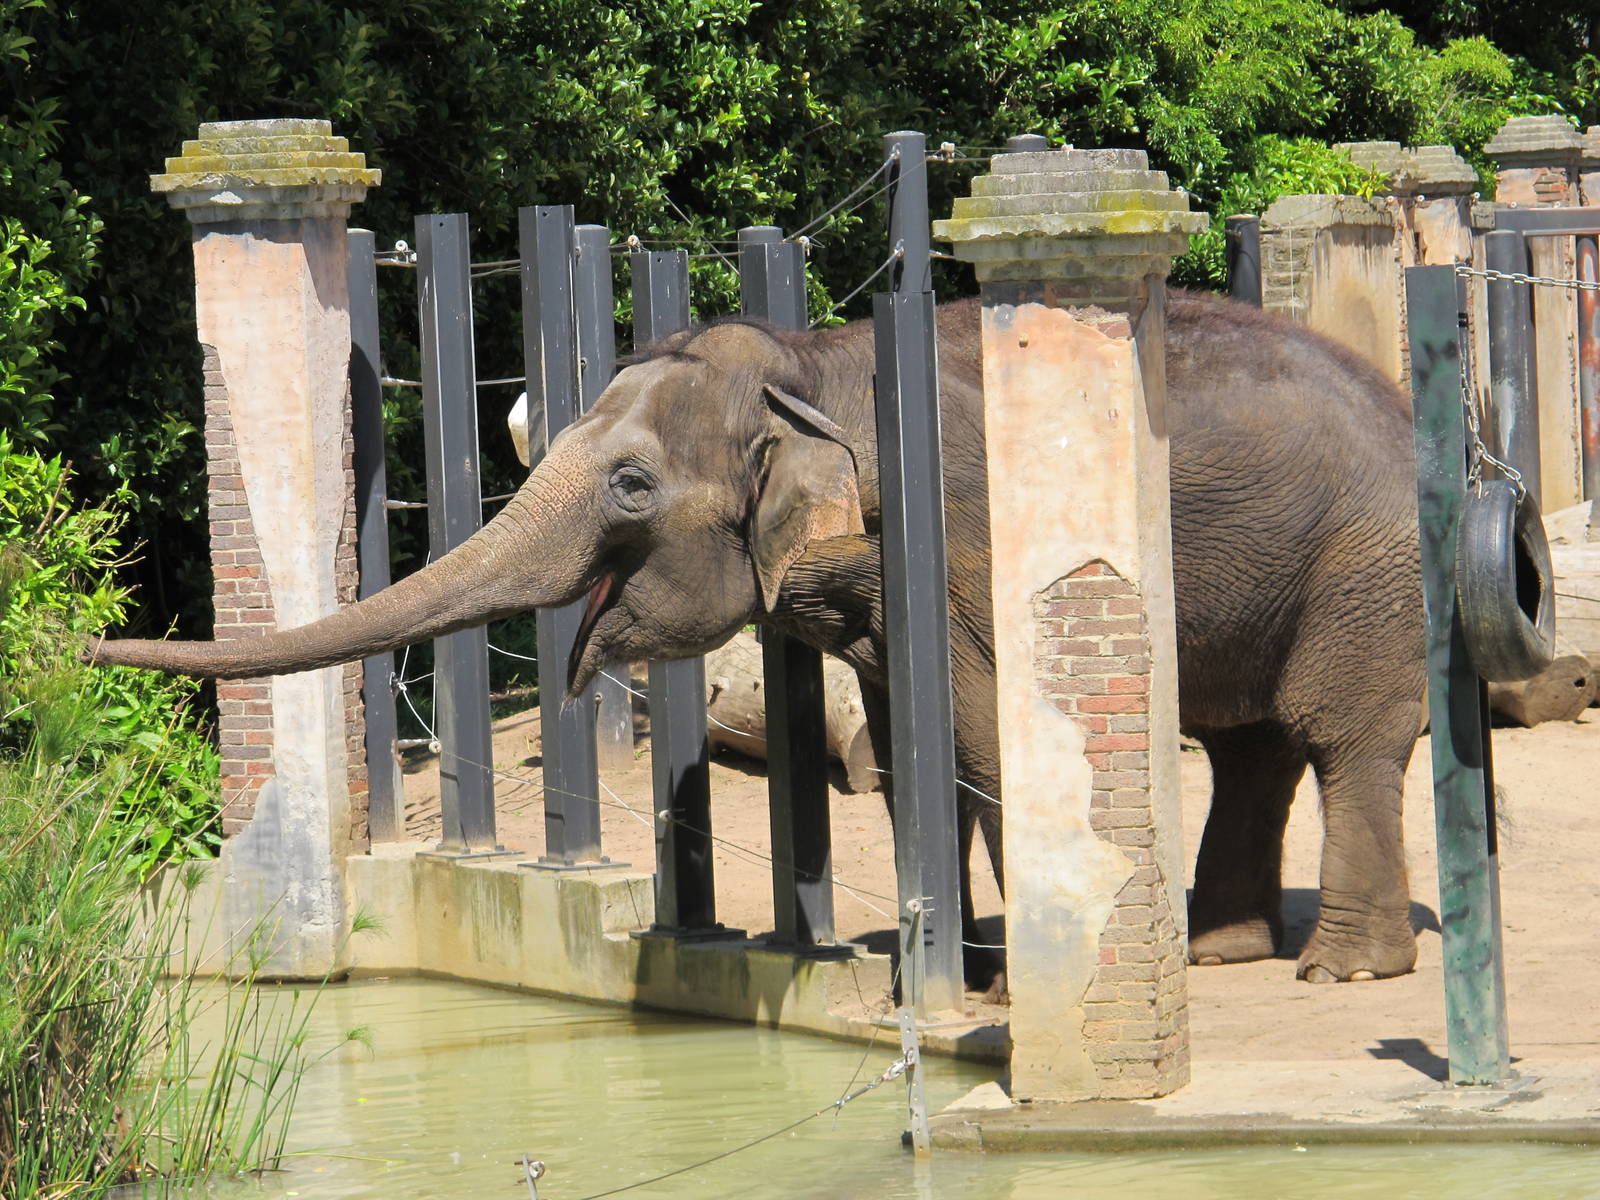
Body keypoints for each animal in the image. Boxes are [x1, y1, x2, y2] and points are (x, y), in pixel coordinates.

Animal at [92, 292, 1426, 991]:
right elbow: (906, 747)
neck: (812, 369)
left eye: (631, 486)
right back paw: (1222, 954)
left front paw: (997, 984)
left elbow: (985, 736)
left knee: (1340, 737)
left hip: (1368, 564)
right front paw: (946, 967)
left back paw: (1342, 974)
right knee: (1253, 744)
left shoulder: (965, 538)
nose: (91, 650)